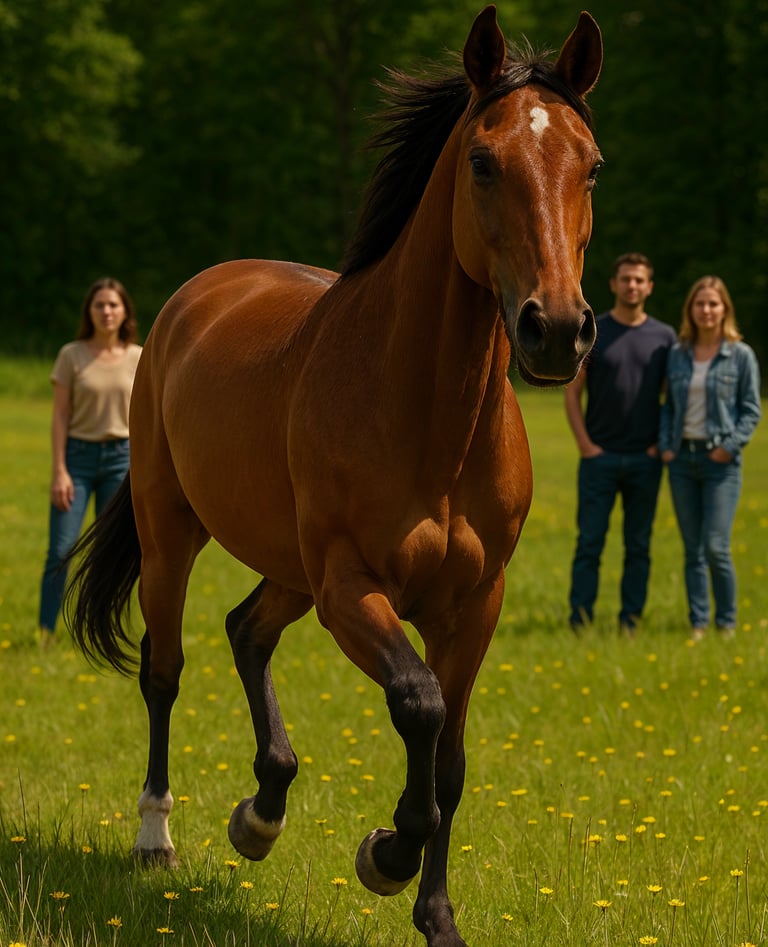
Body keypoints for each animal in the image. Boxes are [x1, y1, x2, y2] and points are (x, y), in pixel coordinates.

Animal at [65, 7, 602, 946]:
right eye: (483, 161)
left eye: (593, 164)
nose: (558, 329)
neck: (428, 420)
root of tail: (190, 300)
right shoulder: (353, 586)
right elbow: (419, 703)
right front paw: (385, 853)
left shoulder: (475, 605)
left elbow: (451, 760)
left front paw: (437, 915)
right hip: (176, 535)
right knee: (164, 671)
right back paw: (155, 836)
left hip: (290, 567)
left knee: (247, 629)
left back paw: (262, 812)